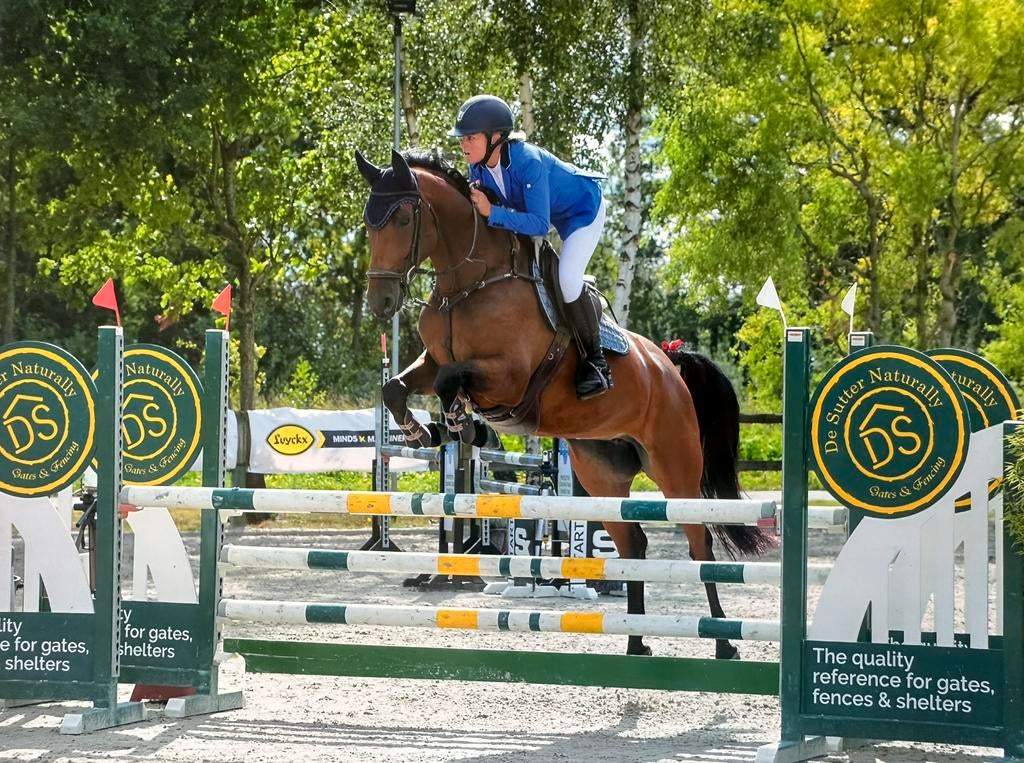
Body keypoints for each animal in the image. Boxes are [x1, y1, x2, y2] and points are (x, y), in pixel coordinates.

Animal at [355, 147, 773, 658]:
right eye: (368, 221)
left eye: (401, 218)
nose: (380, 302)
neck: (470, 283)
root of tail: (669, 364)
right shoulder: (434, 359)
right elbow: (397, 387)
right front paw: (424, 431)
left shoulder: (509, 376)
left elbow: (454, 382)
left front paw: (465, 425)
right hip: (601, 472)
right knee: (633, 545)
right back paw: (636, 644)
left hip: (675, 467)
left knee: (700, 546)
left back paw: (724, 643)